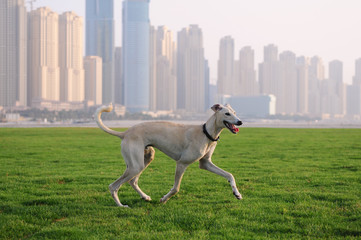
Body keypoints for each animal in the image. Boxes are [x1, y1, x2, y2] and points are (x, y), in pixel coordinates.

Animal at [95, 102, 242, 206]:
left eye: (235, 112)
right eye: (227, 114)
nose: (240, 122)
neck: (206, 133)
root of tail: (125, 133)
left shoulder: (205, 163)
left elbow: (229, 175)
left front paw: (237, 193)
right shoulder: (181, 164)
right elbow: (176, 188)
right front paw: (164, 199)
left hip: (145, 159)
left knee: (133, 181)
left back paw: (145, 197)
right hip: (135, 166)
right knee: (113, 186)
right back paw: (121, 206)